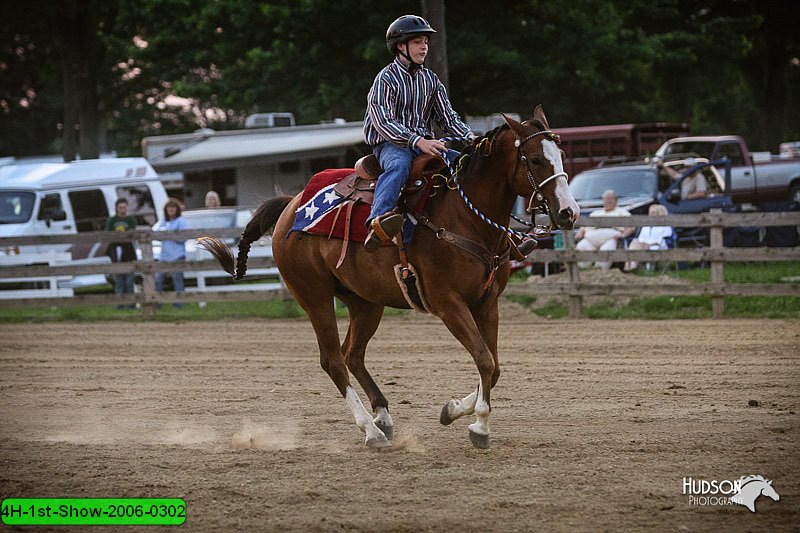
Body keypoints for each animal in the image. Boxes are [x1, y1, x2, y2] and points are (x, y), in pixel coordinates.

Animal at [199, 106, 576, 446]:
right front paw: (479, 428)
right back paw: (370, 430)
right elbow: (484, 359)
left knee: (352, 354)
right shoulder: (448, 303)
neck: (464, 217)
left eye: (560, 156)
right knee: (333, 360)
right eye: (536, 160)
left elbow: (493, 366)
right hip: (314, 296)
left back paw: (382, 416)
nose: (569, 212)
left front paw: (454, 409)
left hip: (365, 302)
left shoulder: (487, 302)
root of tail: (292, 206)